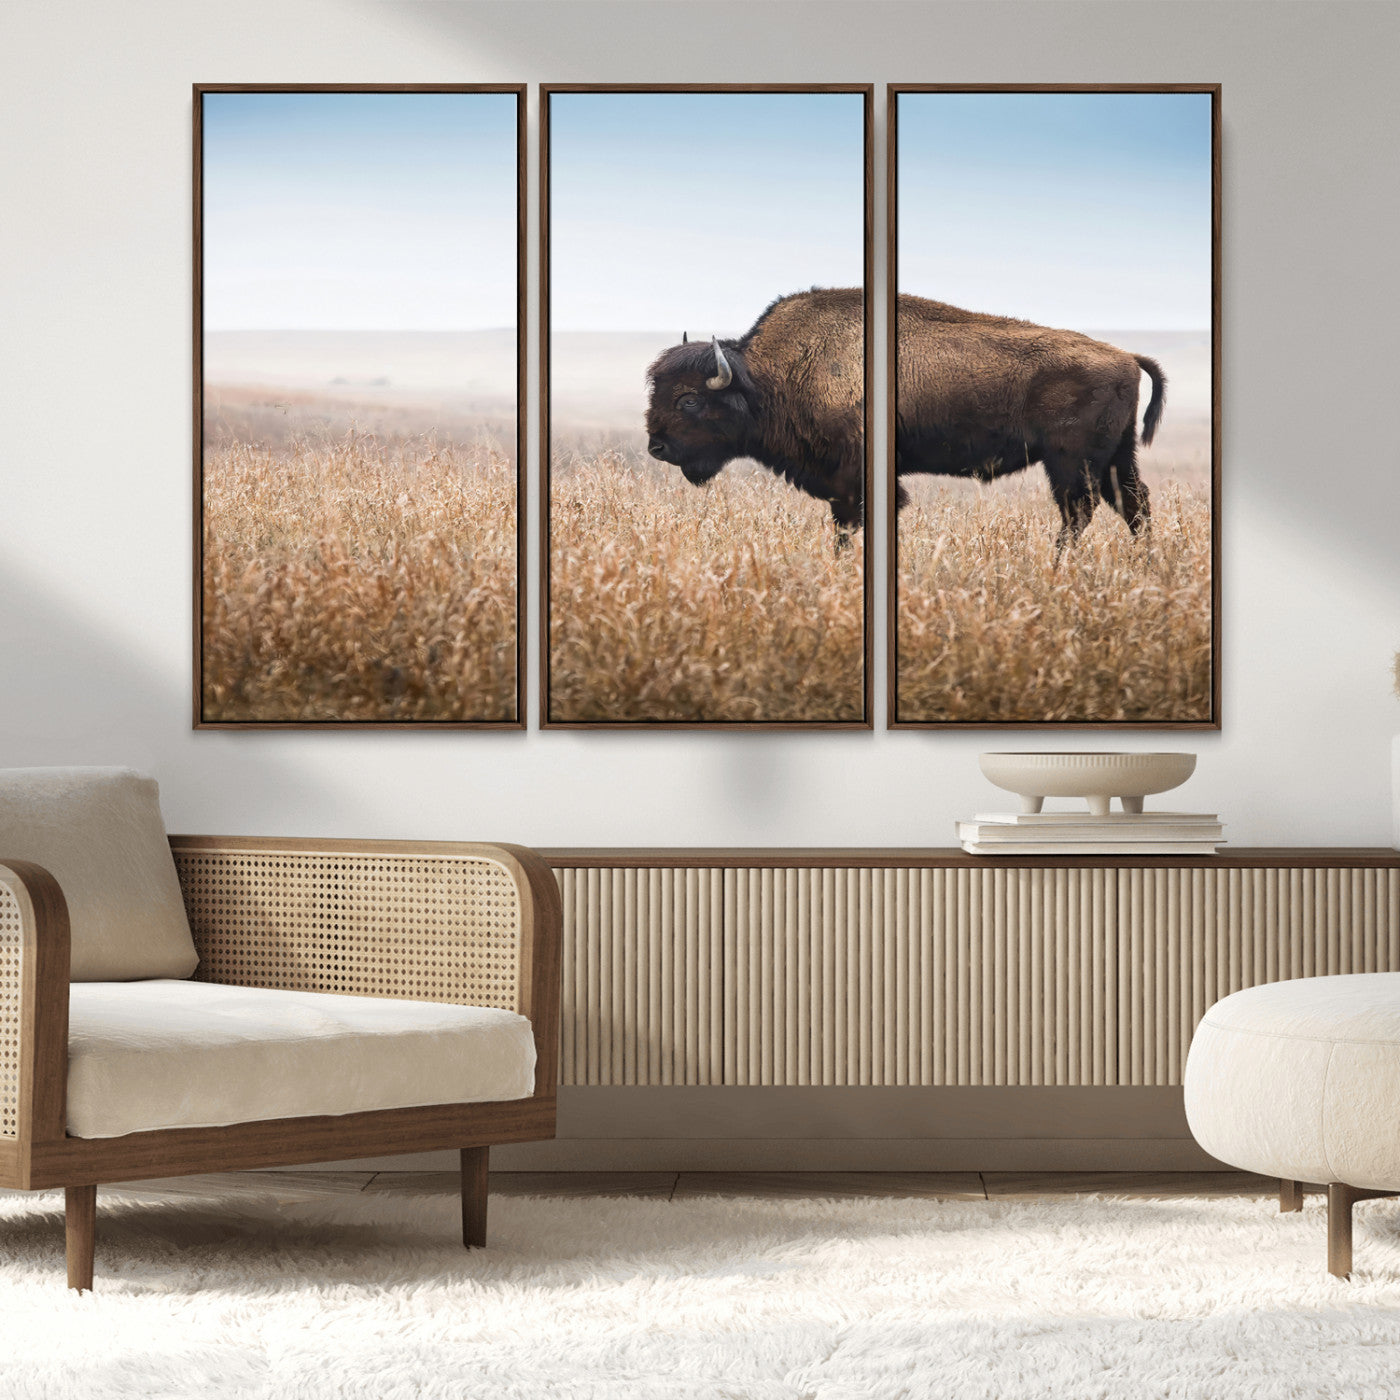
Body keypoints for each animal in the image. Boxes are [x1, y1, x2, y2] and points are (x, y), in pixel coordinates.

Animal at [645, 287, 1165, 554]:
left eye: (689, 400)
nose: (657, 447)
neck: (771, 376)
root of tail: (1126, 356)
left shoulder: (856, 480)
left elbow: (850, 526)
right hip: (1116, 456)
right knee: (1133, 505)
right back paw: (1144, 565)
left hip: (1071, 462)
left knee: (1080, 511)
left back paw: (1059, 566)